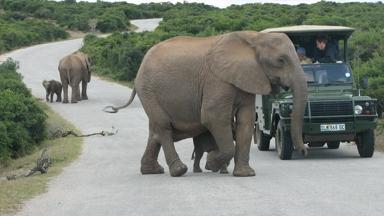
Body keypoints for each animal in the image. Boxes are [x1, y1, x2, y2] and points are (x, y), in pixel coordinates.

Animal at [106, 31, 308, 177]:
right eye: (280, 61)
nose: (305, 150)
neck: (254, 38)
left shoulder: (247, 78)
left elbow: (246, 120)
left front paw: (245, 174)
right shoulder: (217, 80)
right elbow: (213, 117)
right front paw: (212, 165)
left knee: (155, 132)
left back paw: (152, 171)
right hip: (148, 91)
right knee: (163, 127)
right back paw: (179, 171)